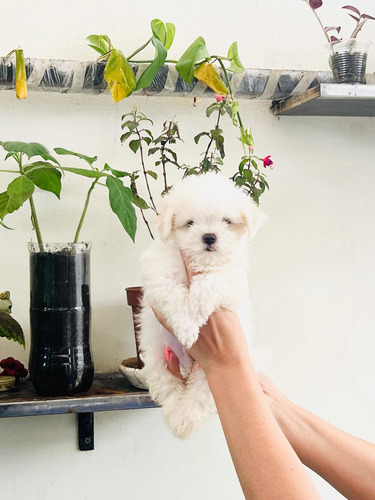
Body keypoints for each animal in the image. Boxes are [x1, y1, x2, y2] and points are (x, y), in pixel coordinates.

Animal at [140, 173, 266, 438]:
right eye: (189, 223)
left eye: (226, 221)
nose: (209, 236)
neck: (201, 261)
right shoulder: (160, 273)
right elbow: (173, 294)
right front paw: (187, 329)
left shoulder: (231, 279)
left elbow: (209, 283)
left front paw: (194, 314)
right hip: (157, 357)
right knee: (168, 388)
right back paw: (177, 419)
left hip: (211, 375)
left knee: (199, 396)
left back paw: (185, 420)